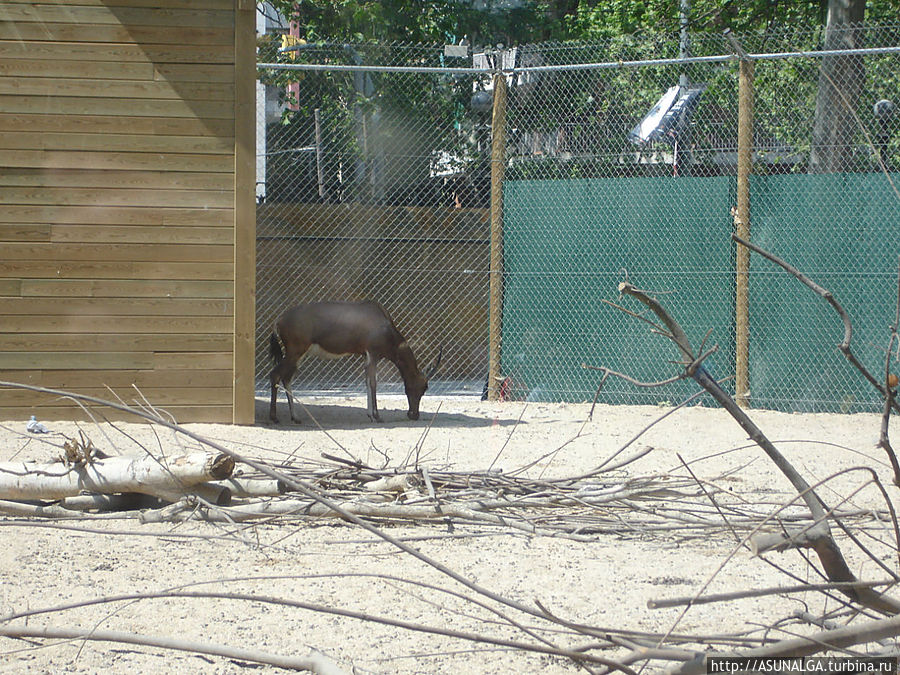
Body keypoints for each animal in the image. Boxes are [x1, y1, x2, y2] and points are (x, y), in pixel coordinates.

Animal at [268, 302, 442, 422]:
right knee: (275, 375)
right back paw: (274, 417)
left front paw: (370, 415)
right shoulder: (373, 354)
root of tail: (279, 321)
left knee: (286, 378)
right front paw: (377, 416)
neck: (381, 319)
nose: (414, 415)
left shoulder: (366, 356)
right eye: (423, 387)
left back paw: (295, 417)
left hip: (297, 356)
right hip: (295, 353)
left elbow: (367, 383)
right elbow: (373, 383)